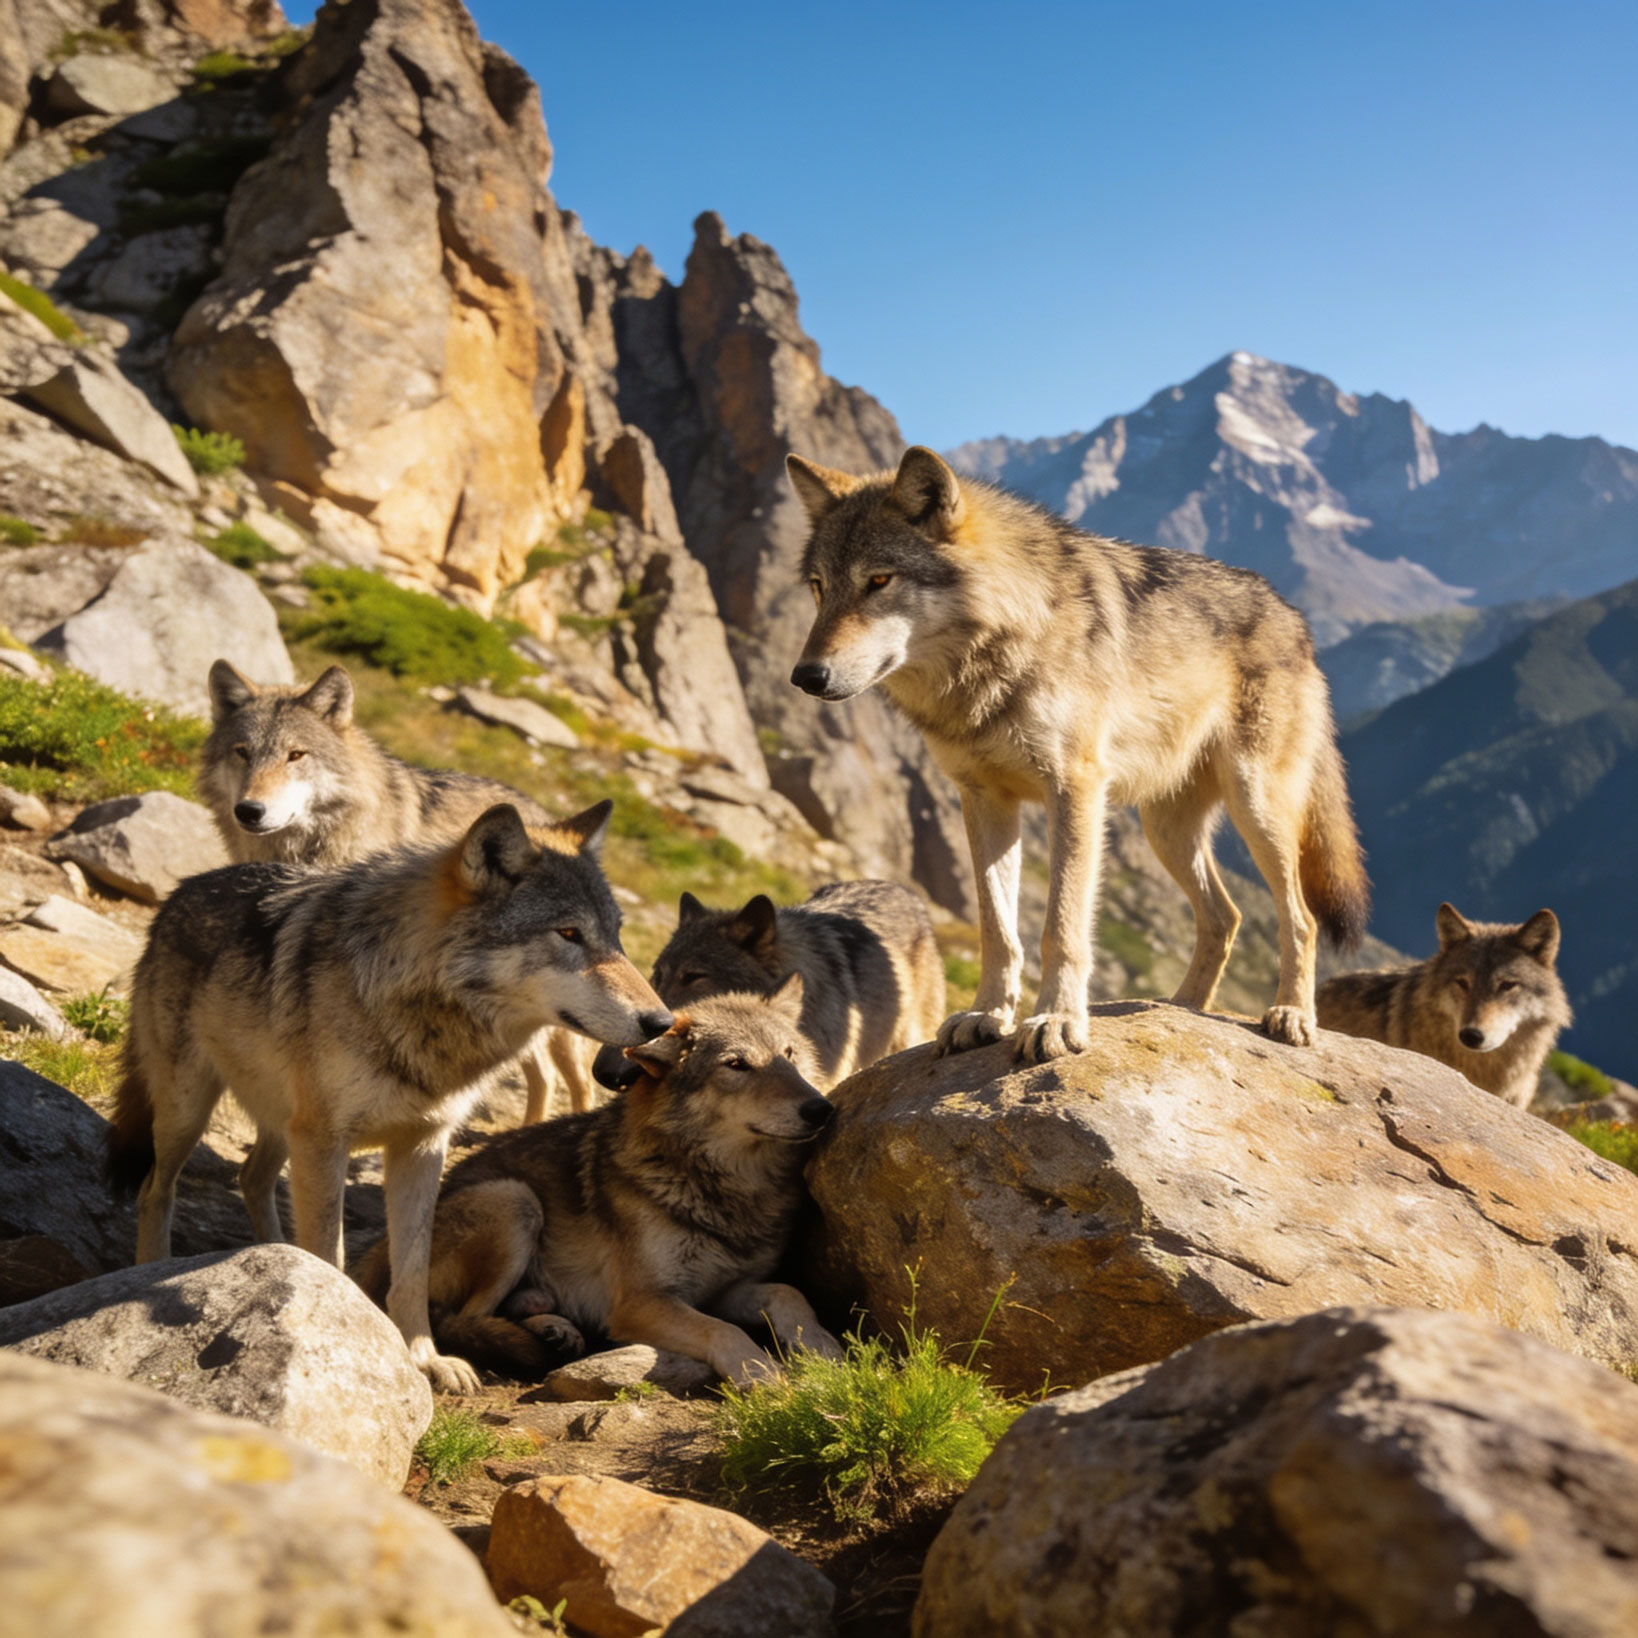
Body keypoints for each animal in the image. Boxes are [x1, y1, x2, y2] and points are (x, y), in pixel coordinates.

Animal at [107, 801, 672, 1393]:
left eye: (615, 936)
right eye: (568, 933)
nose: (662, 1023)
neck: (415, 1002)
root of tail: (185, 887)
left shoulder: (422, 1147)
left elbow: (412, 1270)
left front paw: (424, 1359)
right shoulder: (324, 1143)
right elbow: (331, 1253)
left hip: (282, 1125)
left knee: (251, 1177)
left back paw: (277, 1254)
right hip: (189, 1109)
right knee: (155, 1189)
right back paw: (151, 1264)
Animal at [200, 658, 594, 1121]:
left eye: (295, 755)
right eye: (242, 752)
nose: (249, 810)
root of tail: (547, 818)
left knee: (579, 1083)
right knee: (543, 1077)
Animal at [355, 979, 842, 1386]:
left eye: (789, 1054)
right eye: (736, 1064)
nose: (820, 1108)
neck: (728, 1187)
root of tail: (378, 1249)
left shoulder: (724, 1289)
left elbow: (789, 1293)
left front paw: (825, 1348)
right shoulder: (641, 1302)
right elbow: (723, 1332)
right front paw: (759, 1370)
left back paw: (555, 1328)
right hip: (513, 1200)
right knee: (459, 1319)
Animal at [785, 445, 1369, 1062]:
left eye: (878, 580)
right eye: (820, 587)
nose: (806, 676)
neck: (996, 652)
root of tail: (1293, 615)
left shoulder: (1075, 790)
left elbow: (1061, 927)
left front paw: (1057, 1021)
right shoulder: (984, 799)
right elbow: (997, 929)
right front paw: (986, 1015)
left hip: (1256, 807)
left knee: (1300, 917)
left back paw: (1291, 1015)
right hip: (1167, 830)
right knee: (1225, 916)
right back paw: (1180, 1008)